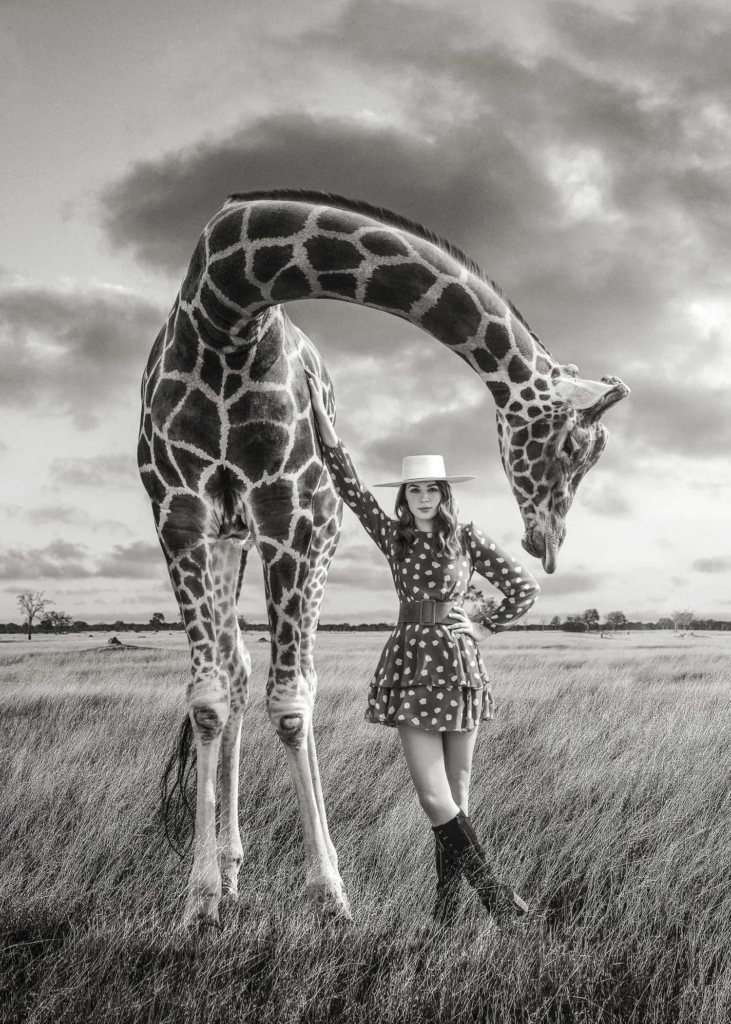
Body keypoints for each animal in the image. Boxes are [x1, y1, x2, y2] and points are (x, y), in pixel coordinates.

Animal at [139, 188, 628, 927]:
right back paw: (224, 873)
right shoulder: (180, 514)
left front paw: (329, 896)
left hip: (279, 533)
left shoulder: (297, 514)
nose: (547, 545)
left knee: (258, 673)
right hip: (230, 536)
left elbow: (290, 703)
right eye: (581, 445)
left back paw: (240, 867)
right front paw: (199, 903)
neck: (227, 308)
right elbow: (208, 701)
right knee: (235, 672)